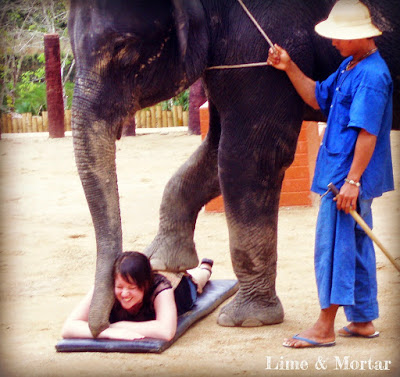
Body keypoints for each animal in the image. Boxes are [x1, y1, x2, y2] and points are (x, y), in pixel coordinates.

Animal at [69, 0, 400, 334]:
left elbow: (245, 157)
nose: (101, 327)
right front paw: (163, 262)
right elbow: (213, 152)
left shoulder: (261, 43)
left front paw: (245, 319)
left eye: (124, 49)